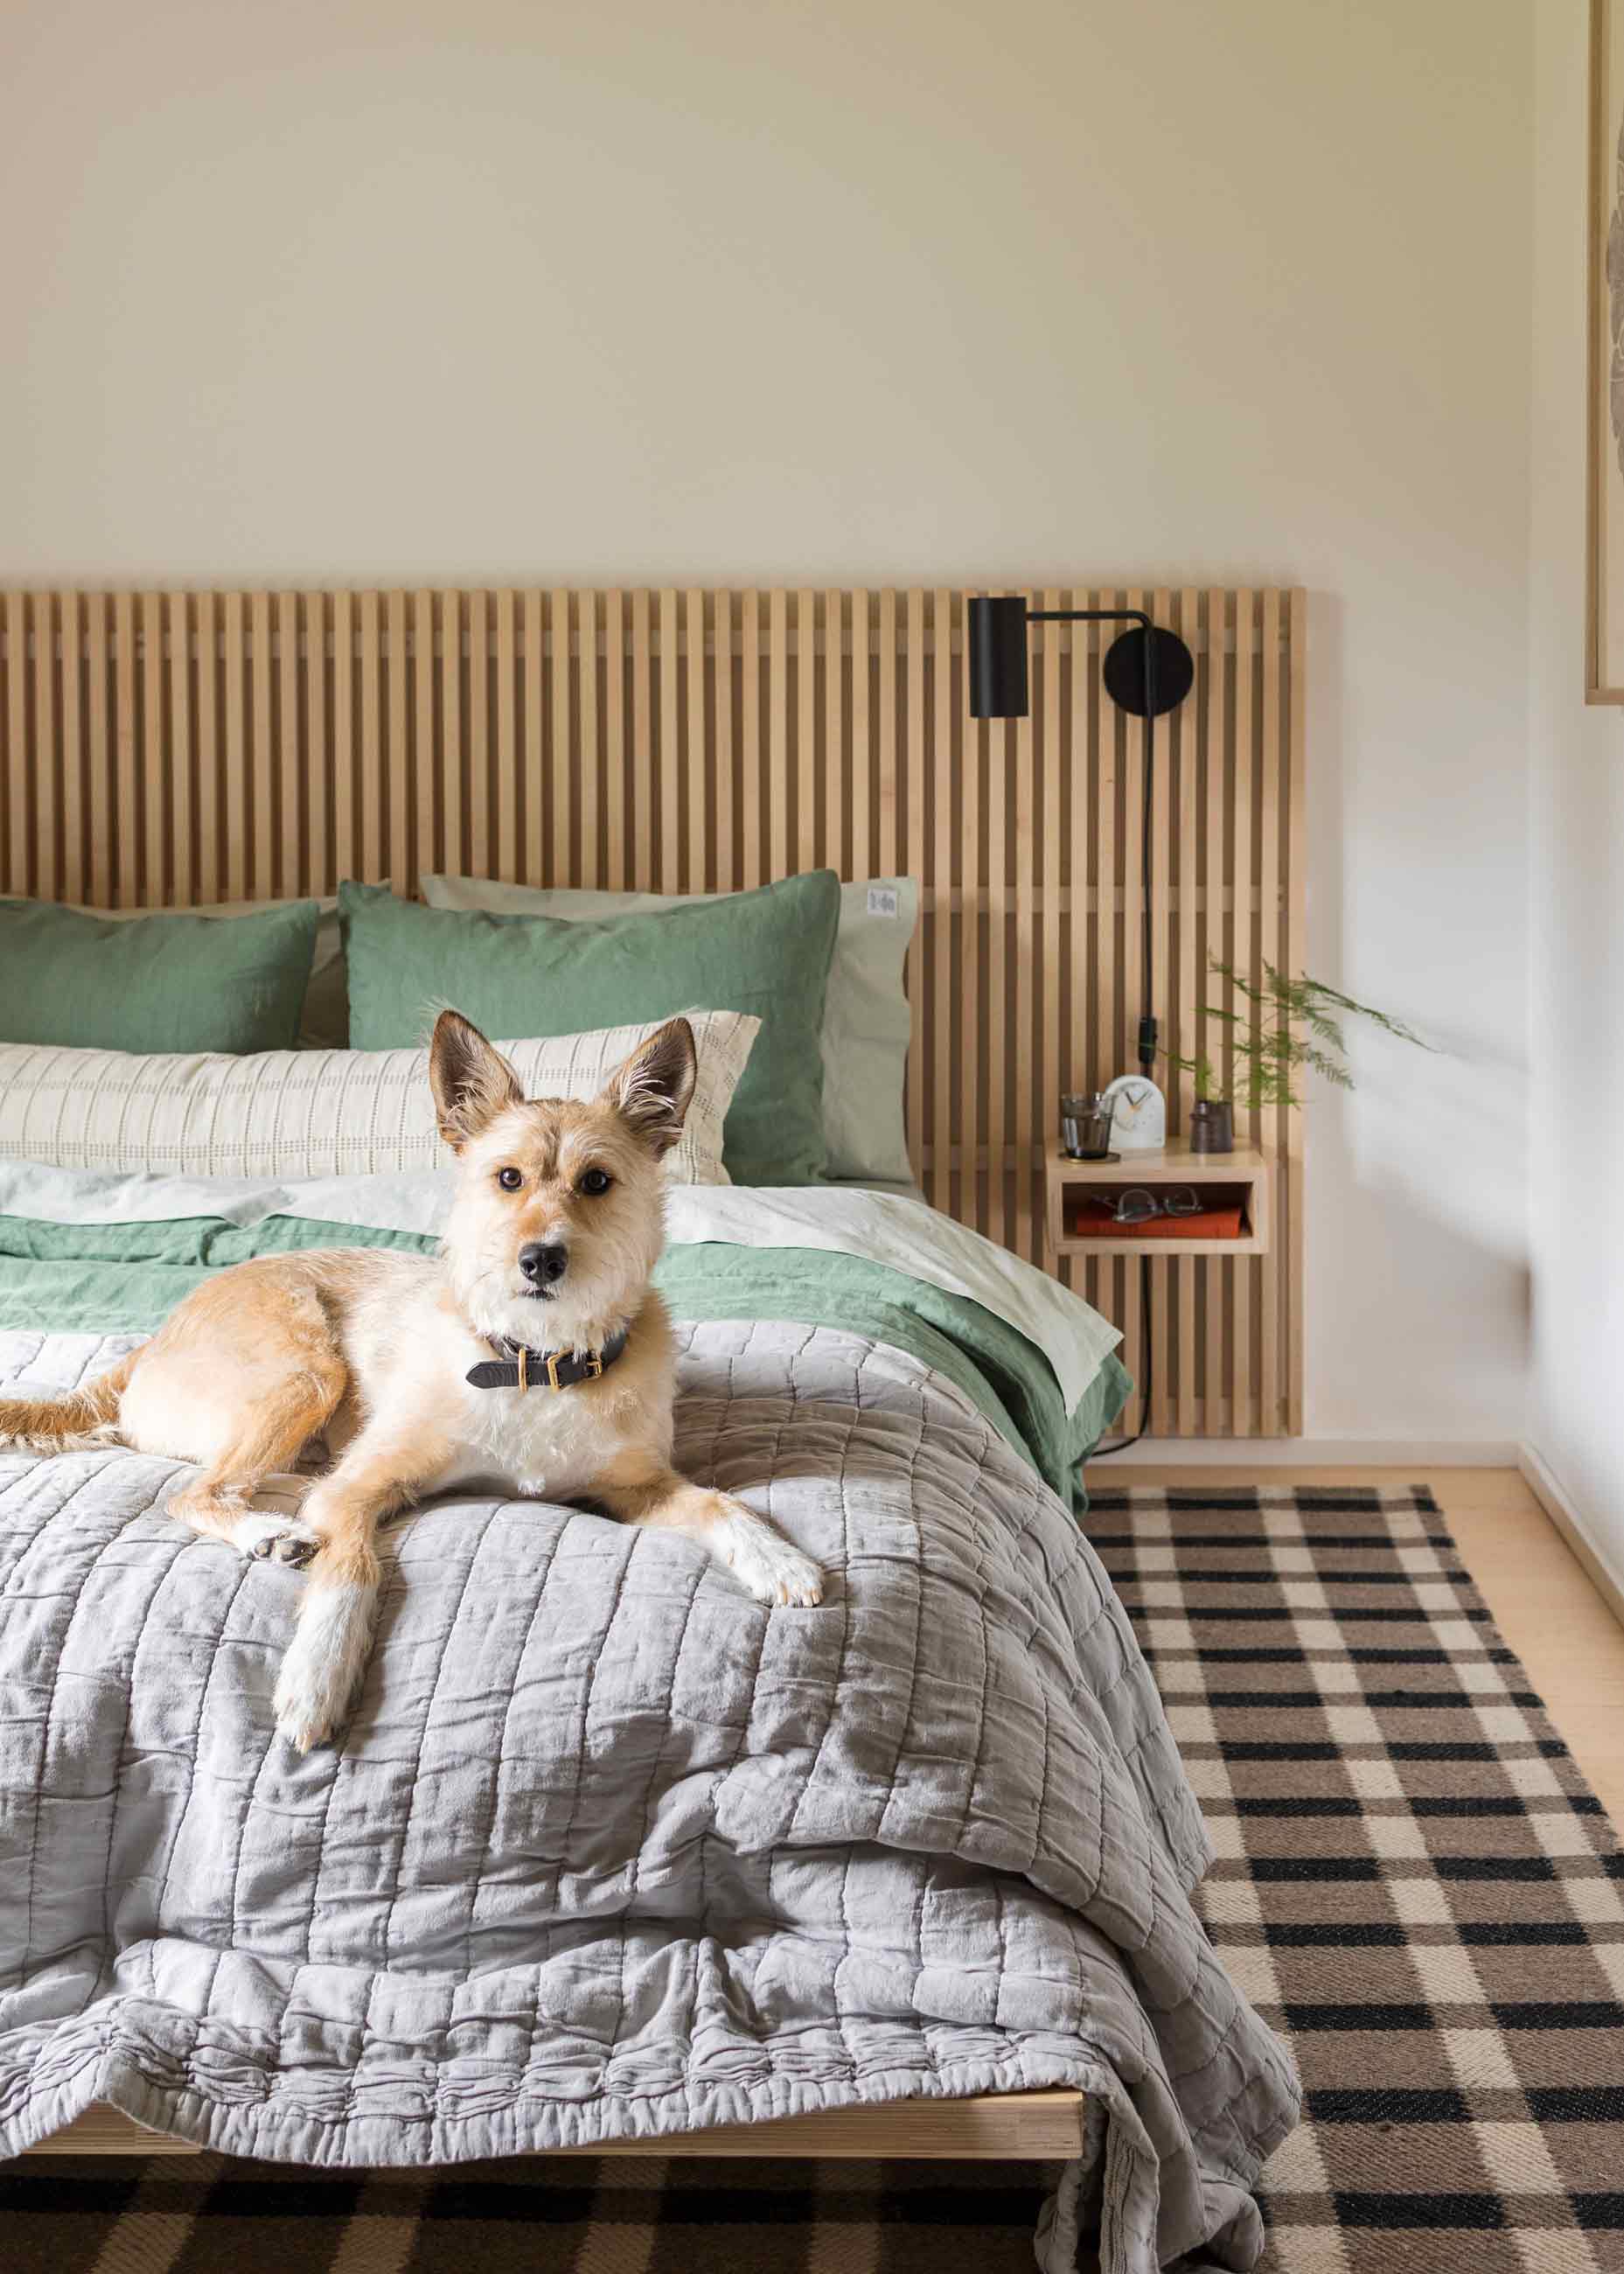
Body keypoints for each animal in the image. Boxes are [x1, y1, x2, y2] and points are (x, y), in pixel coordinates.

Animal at [3, 1023, 823, 1746]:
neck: (536, 1361)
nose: (541, 1260)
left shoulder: (639, 1490)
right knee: (196, 1490)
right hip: (308, 1373)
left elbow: (719, 1502)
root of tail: (148, 1345)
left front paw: (778, 1560)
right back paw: (271, 1530)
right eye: (507, 1179)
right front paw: (317, 1678)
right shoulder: (357, 1491)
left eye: (597, 1182)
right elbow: (352, 1563)